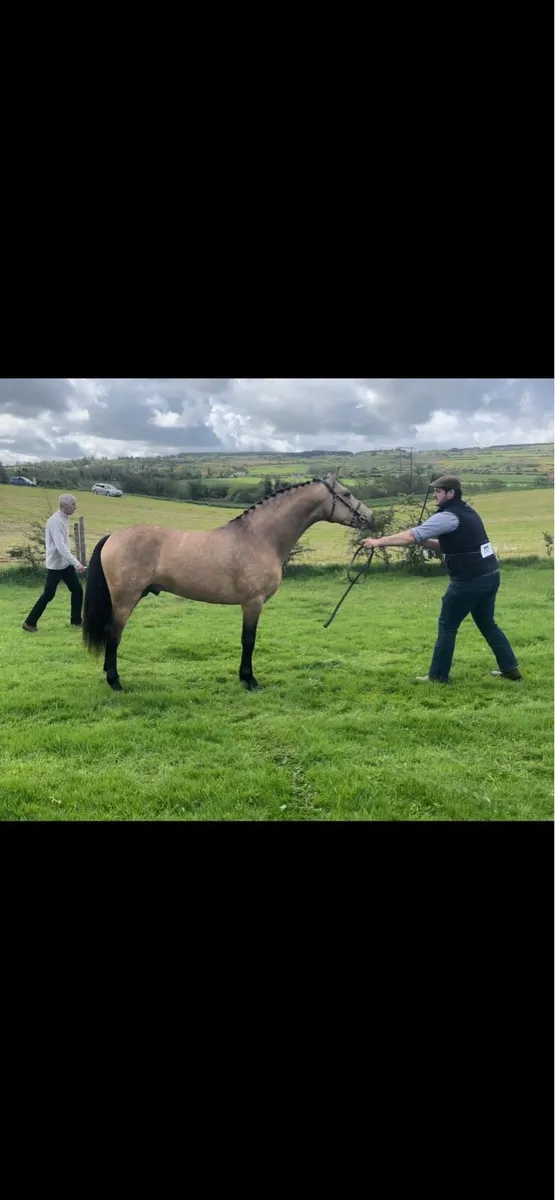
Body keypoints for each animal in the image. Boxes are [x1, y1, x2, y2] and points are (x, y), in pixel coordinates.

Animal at [82, 474, 374, 692]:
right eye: (347, 493)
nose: (370, 518)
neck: (259, 537)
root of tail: (113, 536)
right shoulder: (253, 603)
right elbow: (248, 640)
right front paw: (249, 679)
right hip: (125, 599)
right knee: (113, 633)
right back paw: (115, 681)